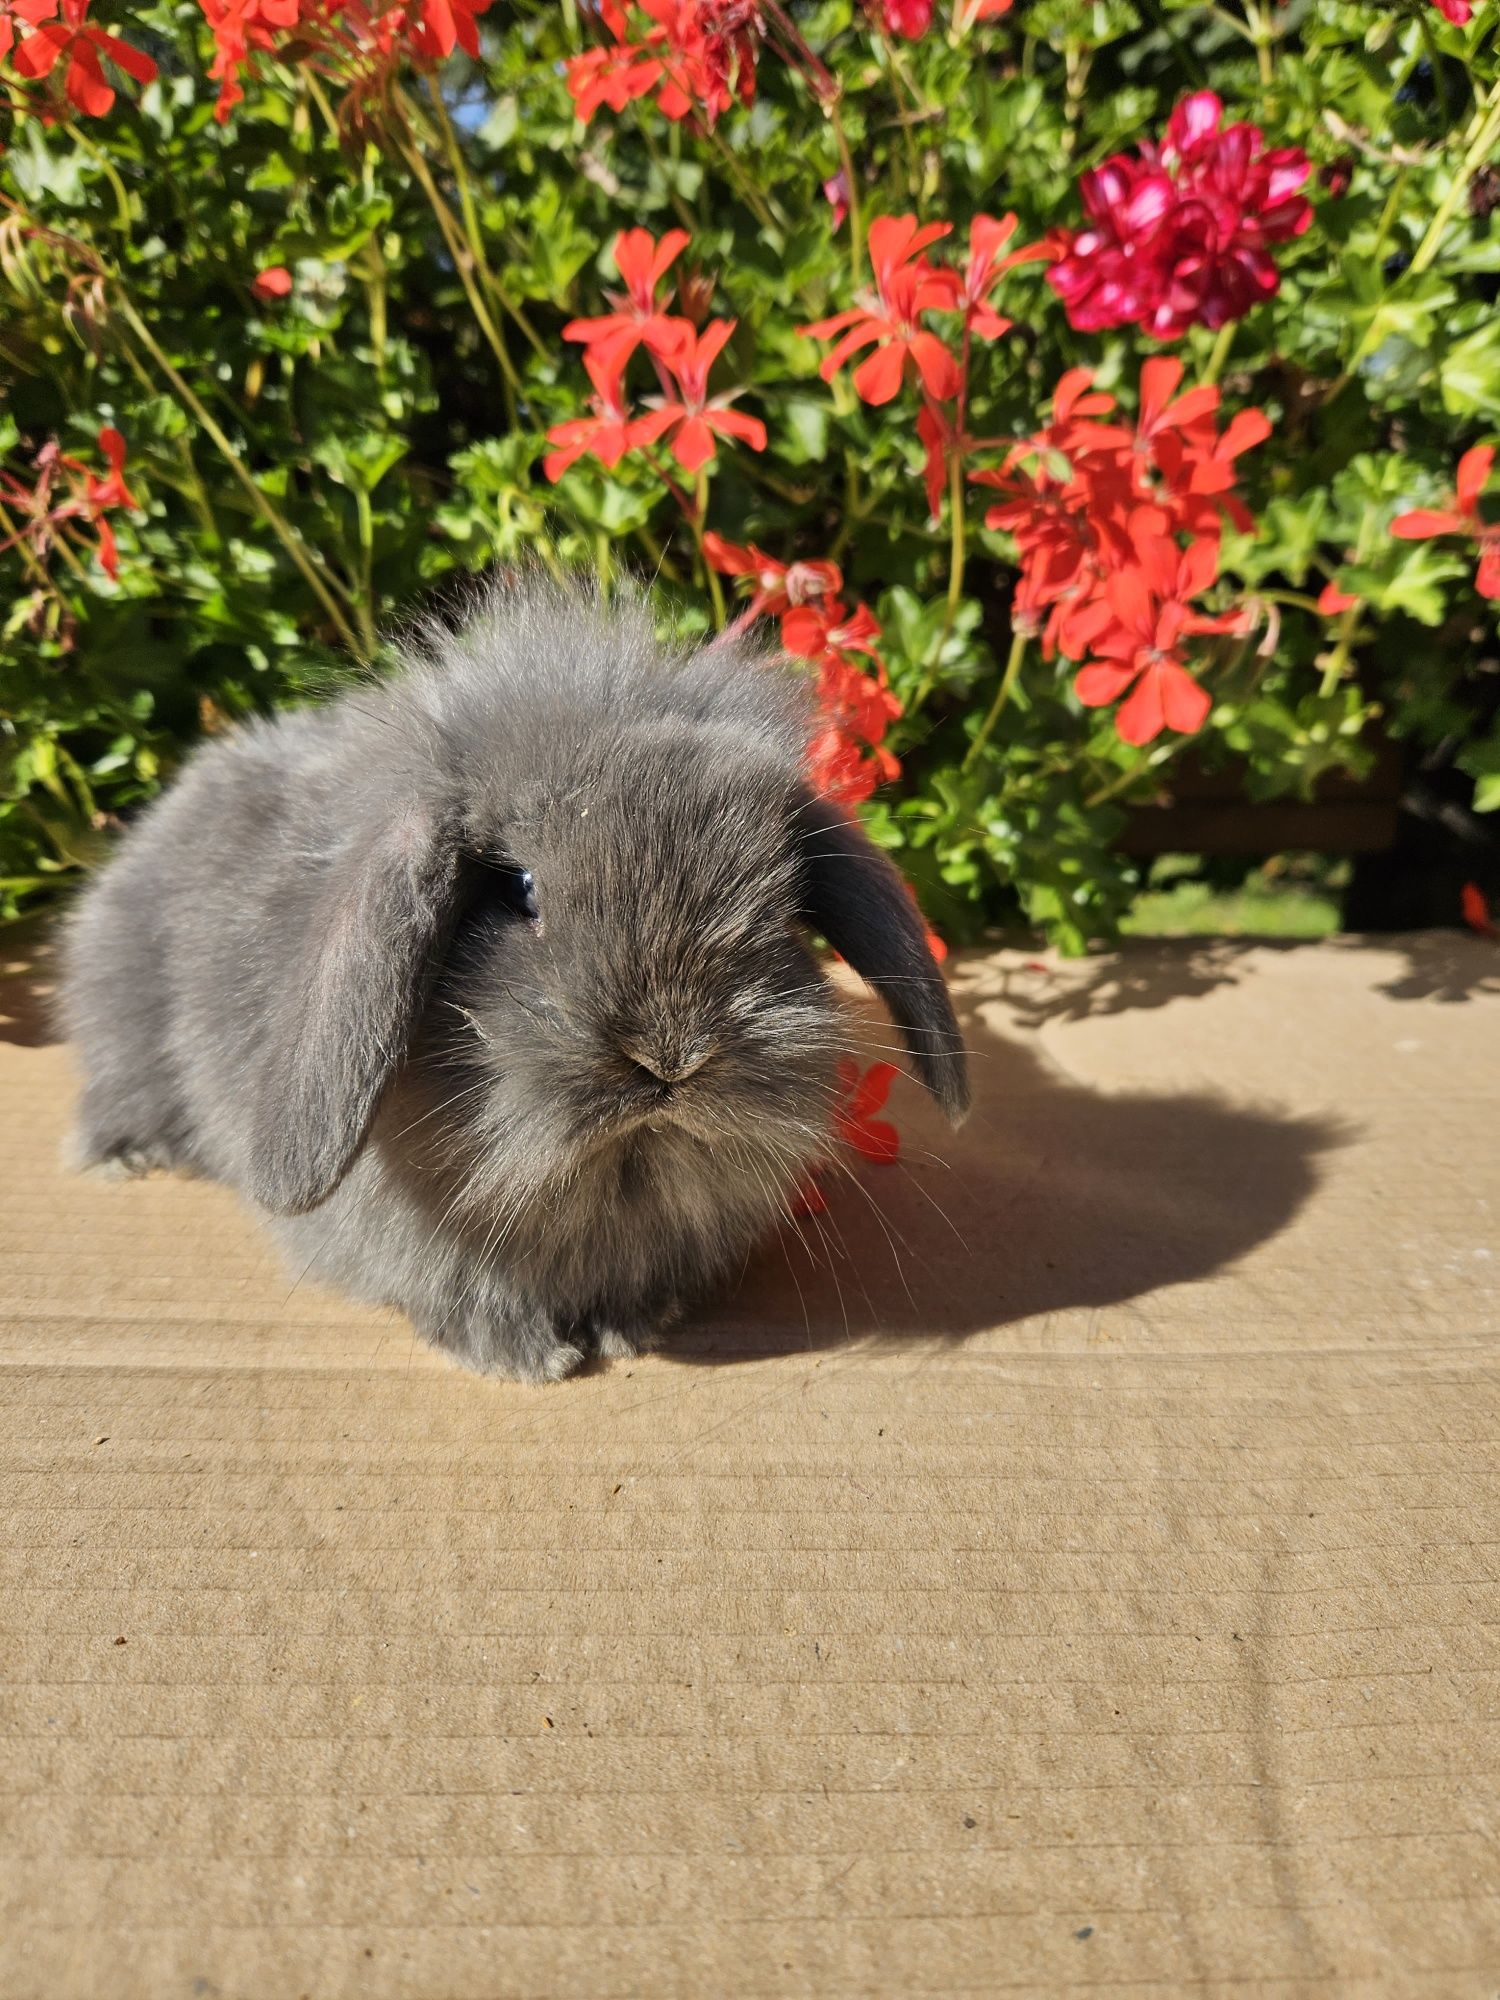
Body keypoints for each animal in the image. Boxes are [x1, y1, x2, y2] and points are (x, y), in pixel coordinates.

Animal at [58, 580, 968, 1376]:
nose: (671, 1054)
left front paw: (629, 1329)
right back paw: (129, 1159)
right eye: (516, 888)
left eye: (781, 904)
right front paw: (524, 1356)